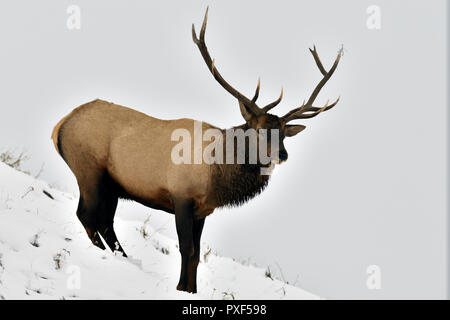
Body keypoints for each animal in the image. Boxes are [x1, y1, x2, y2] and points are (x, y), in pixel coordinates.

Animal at [51, 8, 342, 292]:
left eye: (283, 133)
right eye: (259, 129)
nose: (282, 155)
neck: (216, 172)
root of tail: (59, 126)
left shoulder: (203, 211)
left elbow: (197, 254)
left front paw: (191, 288)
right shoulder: (181, 197)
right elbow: (186, 248)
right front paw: (180, 287)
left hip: (111, 185)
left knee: (104, 221)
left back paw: (123, 257)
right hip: (88, 170)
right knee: (86, 215)